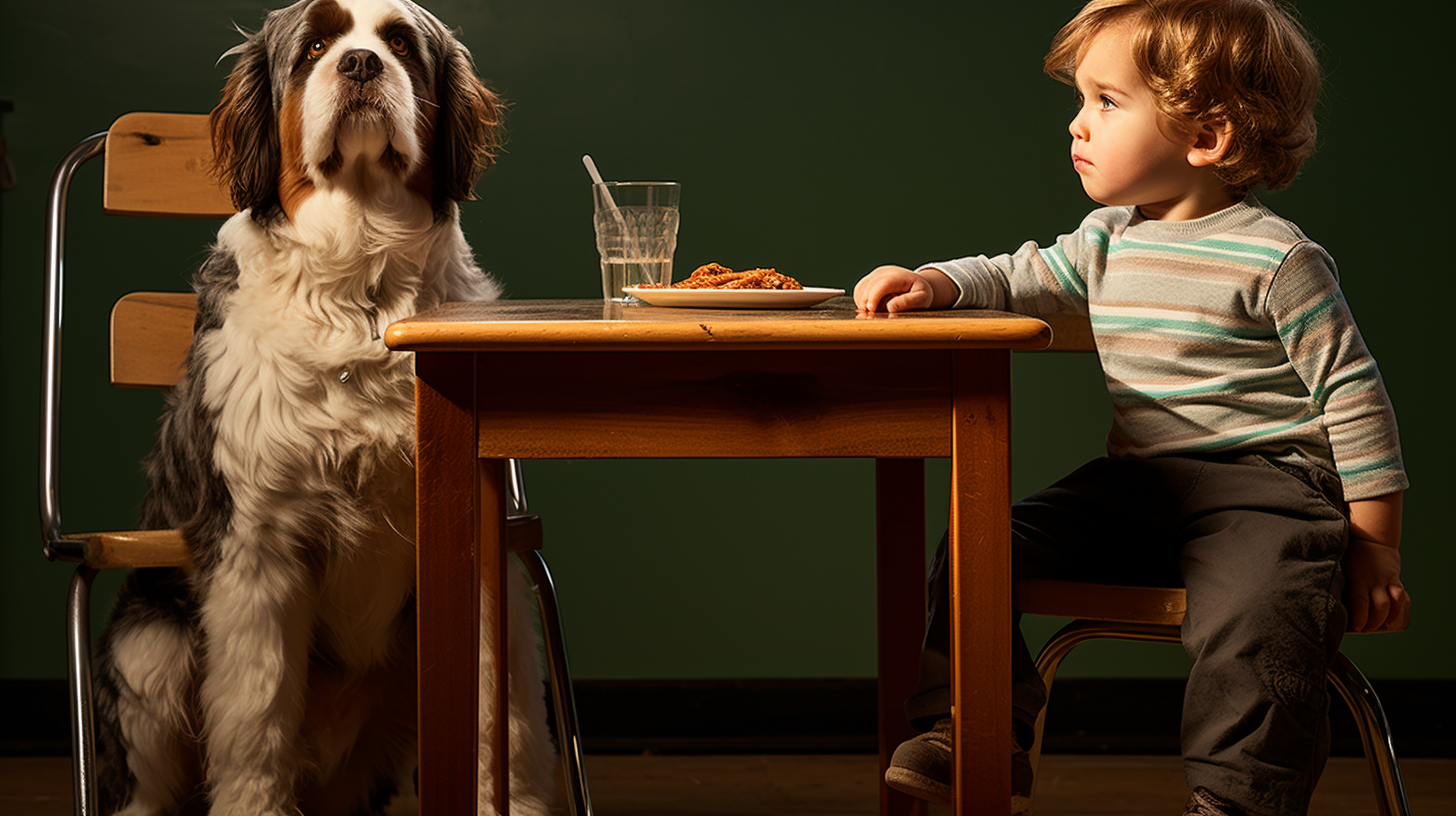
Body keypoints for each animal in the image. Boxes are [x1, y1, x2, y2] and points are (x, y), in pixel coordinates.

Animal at [89, 3, 556, 810]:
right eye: (313, 46)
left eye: (399, 42)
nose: (362, 63)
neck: (361, 287)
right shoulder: (257, 545)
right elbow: (255, 721)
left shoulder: (474, 537)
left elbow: (501, 716)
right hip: (150, 644)